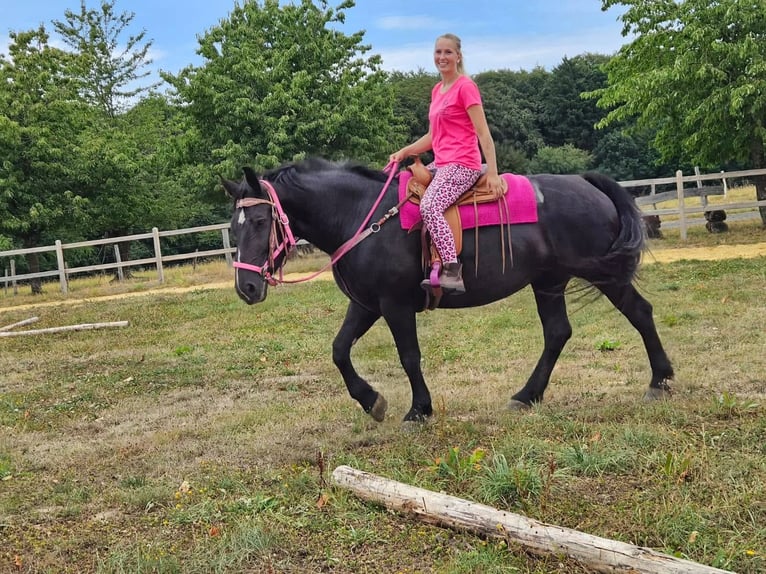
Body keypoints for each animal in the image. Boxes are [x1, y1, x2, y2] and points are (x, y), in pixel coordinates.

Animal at [221, 158, 674, 422]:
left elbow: (409, 357)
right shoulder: (366, 304)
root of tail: (586, 182)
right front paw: (371, 401)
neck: (361, 216)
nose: (246, 287)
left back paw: (660, 381)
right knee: (558, 333)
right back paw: (527, 396)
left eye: (260, 223)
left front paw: (419, 410)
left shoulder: (395, 304)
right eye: (233, 228)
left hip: (605, 276)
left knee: (640, 312)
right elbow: (339, 350)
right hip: (549, 282)